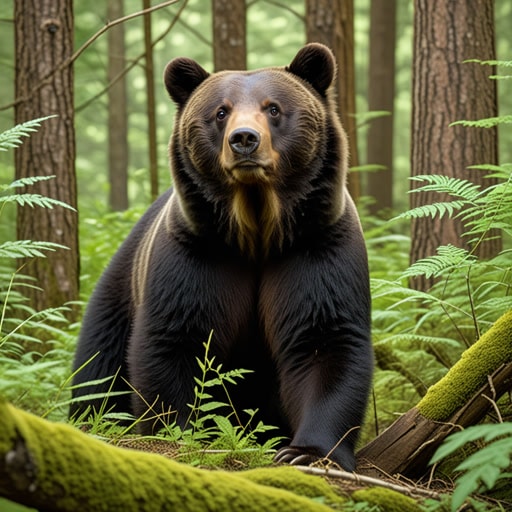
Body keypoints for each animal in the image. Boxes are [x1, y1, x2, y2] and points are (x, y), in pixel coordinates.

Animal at [70, 44, 372, 472]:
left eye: (273, 108)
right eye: (220, 112)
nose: (244, 139)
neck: (257, 231)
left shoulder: (316, 245)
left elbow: (324, 339)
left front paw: (307, 452)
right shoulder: (198, 254)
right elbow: (175, 339)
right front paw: (181, 434)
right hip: (119, 289)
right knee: (98, 368)